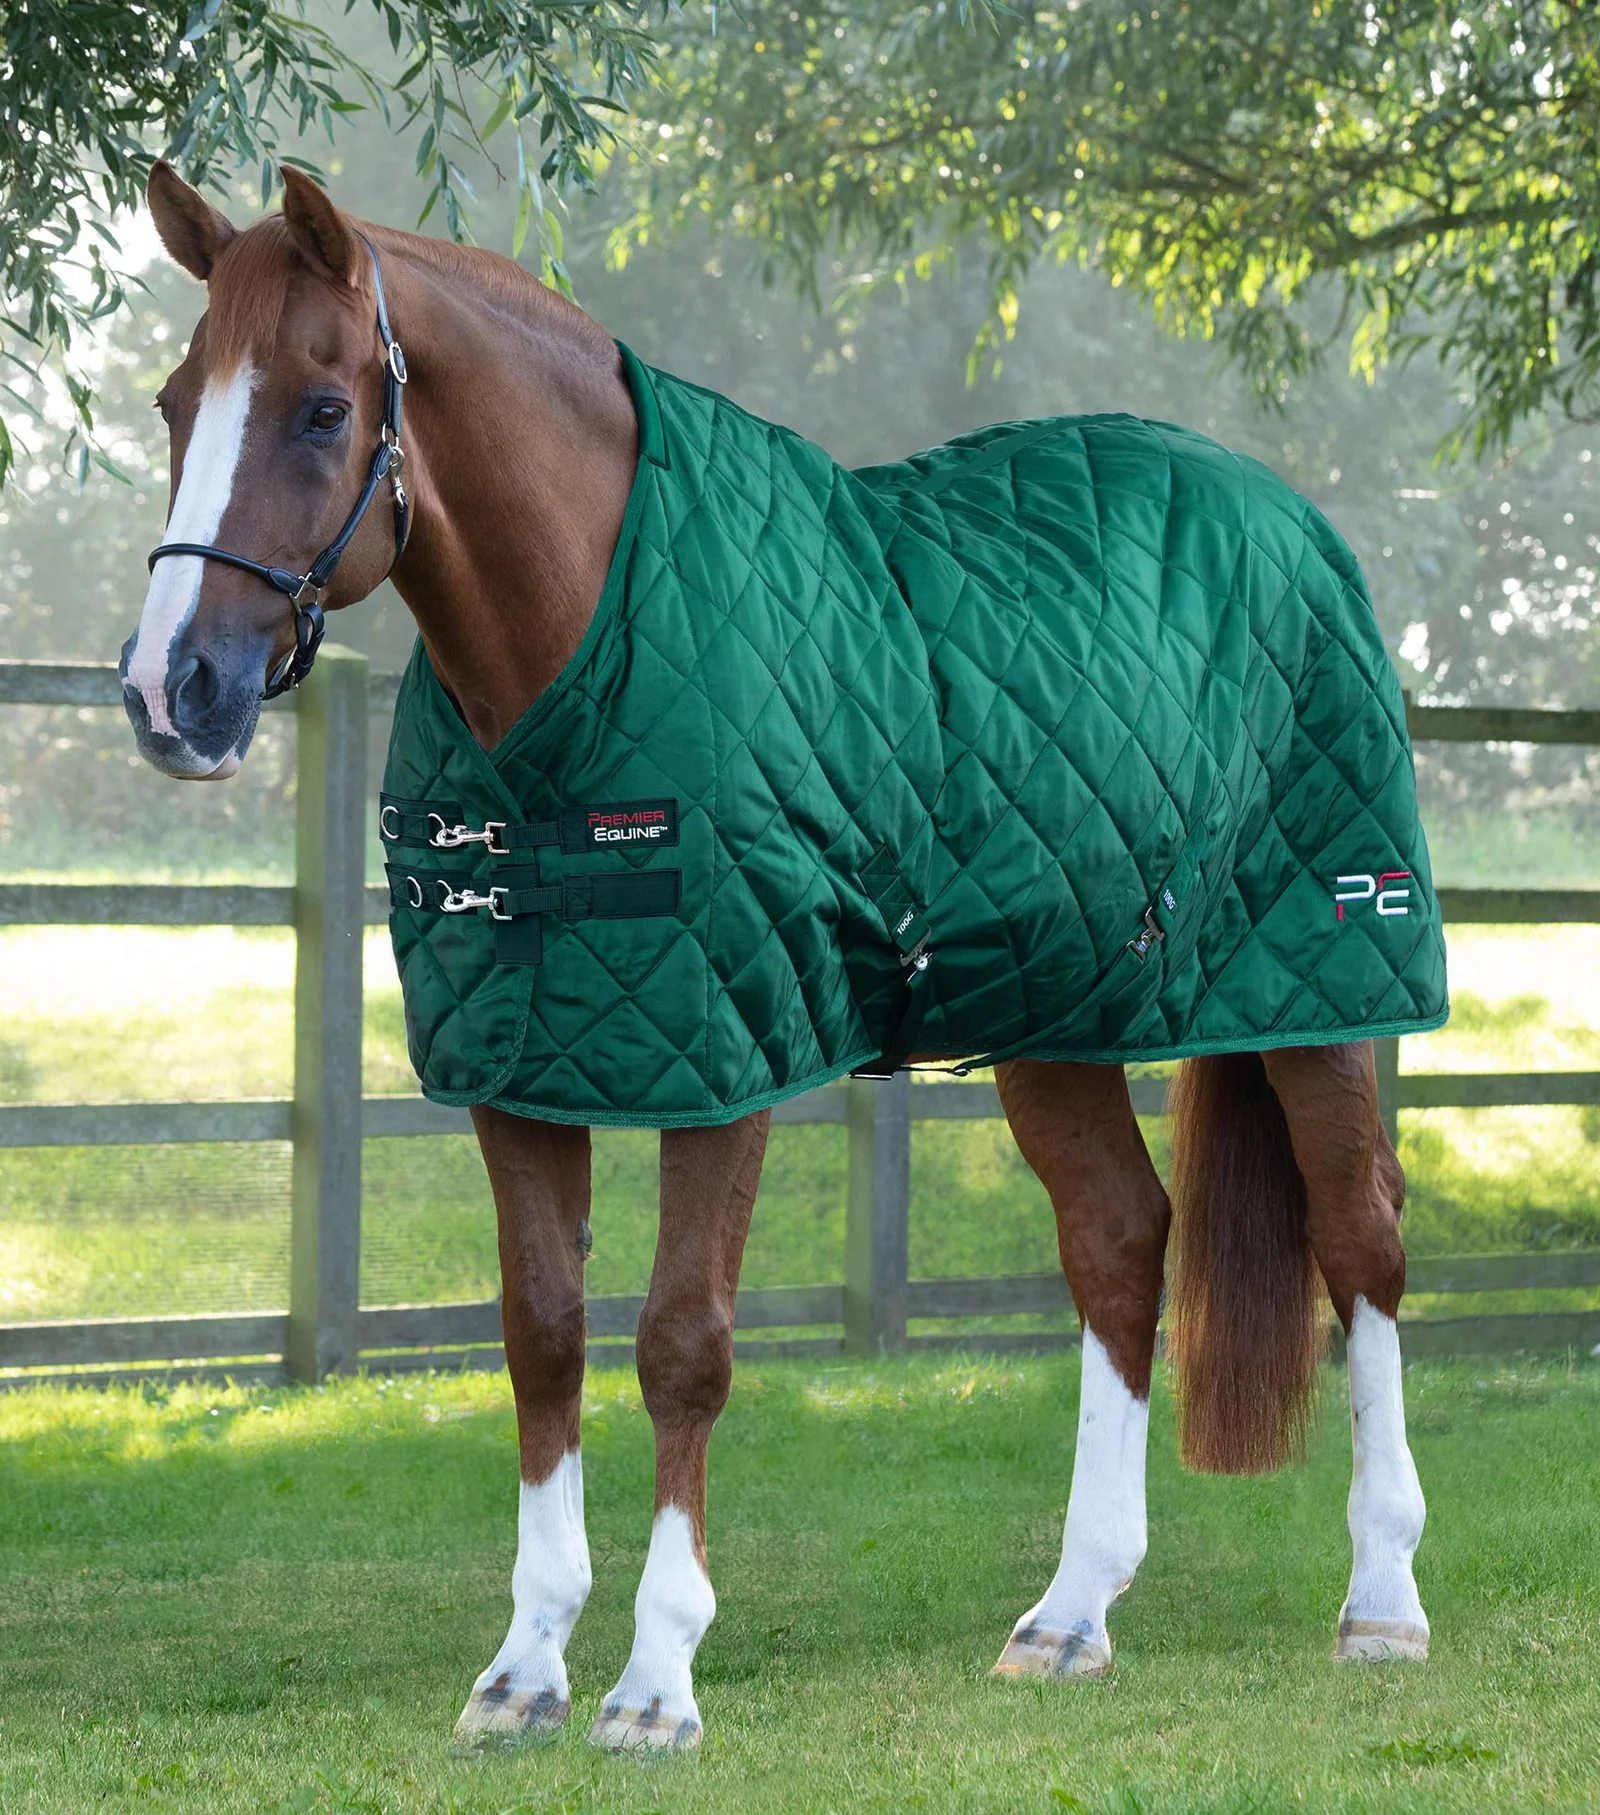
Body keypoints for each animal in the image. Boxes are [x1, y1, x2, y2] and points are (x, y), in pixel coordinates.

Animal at [120, 164, 1432, 1753]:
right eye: (176, 402)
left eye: (321, 409)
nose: (171, 690)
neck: (578, 648)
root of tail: (1294, 521)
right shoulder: (523, 1071)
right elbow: (543, 1335)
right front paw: (524, 1668)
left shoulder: (728, 1055)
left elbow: (682, 1342)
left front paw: (656, 1681)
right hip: (1054, 1011)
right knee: (1121, 1242)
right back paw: (1070, 1613)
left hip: (1325, 983)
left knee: (1360, 1239)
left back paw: (1381, 1602)